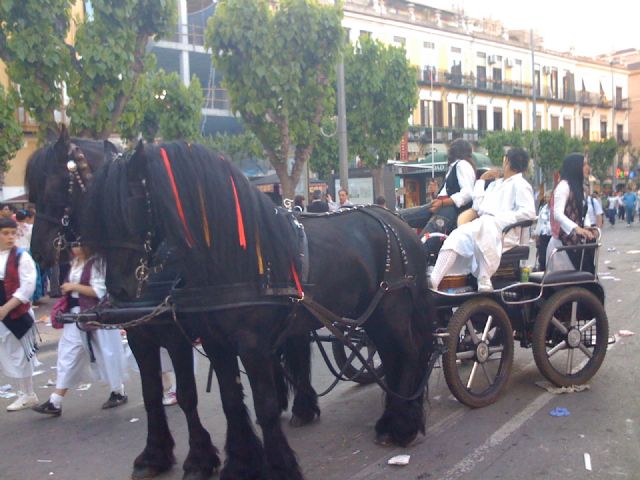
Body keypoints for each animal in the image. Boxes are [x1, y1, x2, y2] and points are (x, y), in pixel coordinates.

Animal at [26, 128, 220, 480]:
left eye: (54, 186)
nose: (38, 252)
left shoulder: (176, 336)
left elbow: (188, 395)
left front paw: (199, 459)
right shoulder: (141, 335)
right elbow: (150, 393)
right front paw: (154, 454)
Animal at [82, 141, 436, 478]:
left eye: (130, 203)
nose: (119, 289)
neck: (231, 258)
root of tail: (398, 222)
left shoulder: (248, 346)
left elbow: (263, 406)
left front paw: (279, 466)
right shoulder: (216, 344)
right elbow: (229, 400)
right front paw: (239, 464)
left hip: (391, 310)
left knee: (409, 352)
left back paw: (403, 425)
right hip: (374, 316)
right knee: (392, 355)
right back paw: (391, 419)